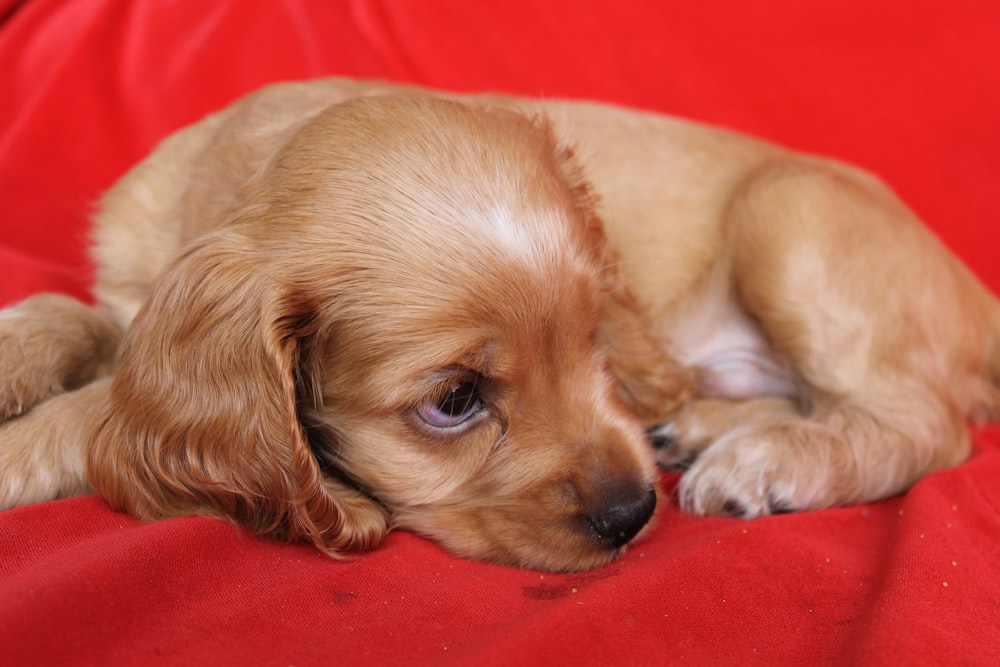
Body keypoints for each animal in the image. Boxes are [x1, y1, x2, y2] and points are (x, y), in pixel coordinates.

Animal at [0, 77, 996, 568]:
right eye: (455, 400)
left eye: (596, 337)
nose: (634, 512)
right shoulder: (139, 299)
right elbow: (78, 318)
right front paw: (17, 352)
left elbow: (102, 405)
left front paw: (20, 442)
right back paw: (696, 428)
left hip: (785, 216)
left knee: (924, 423)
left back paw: (771, 459)